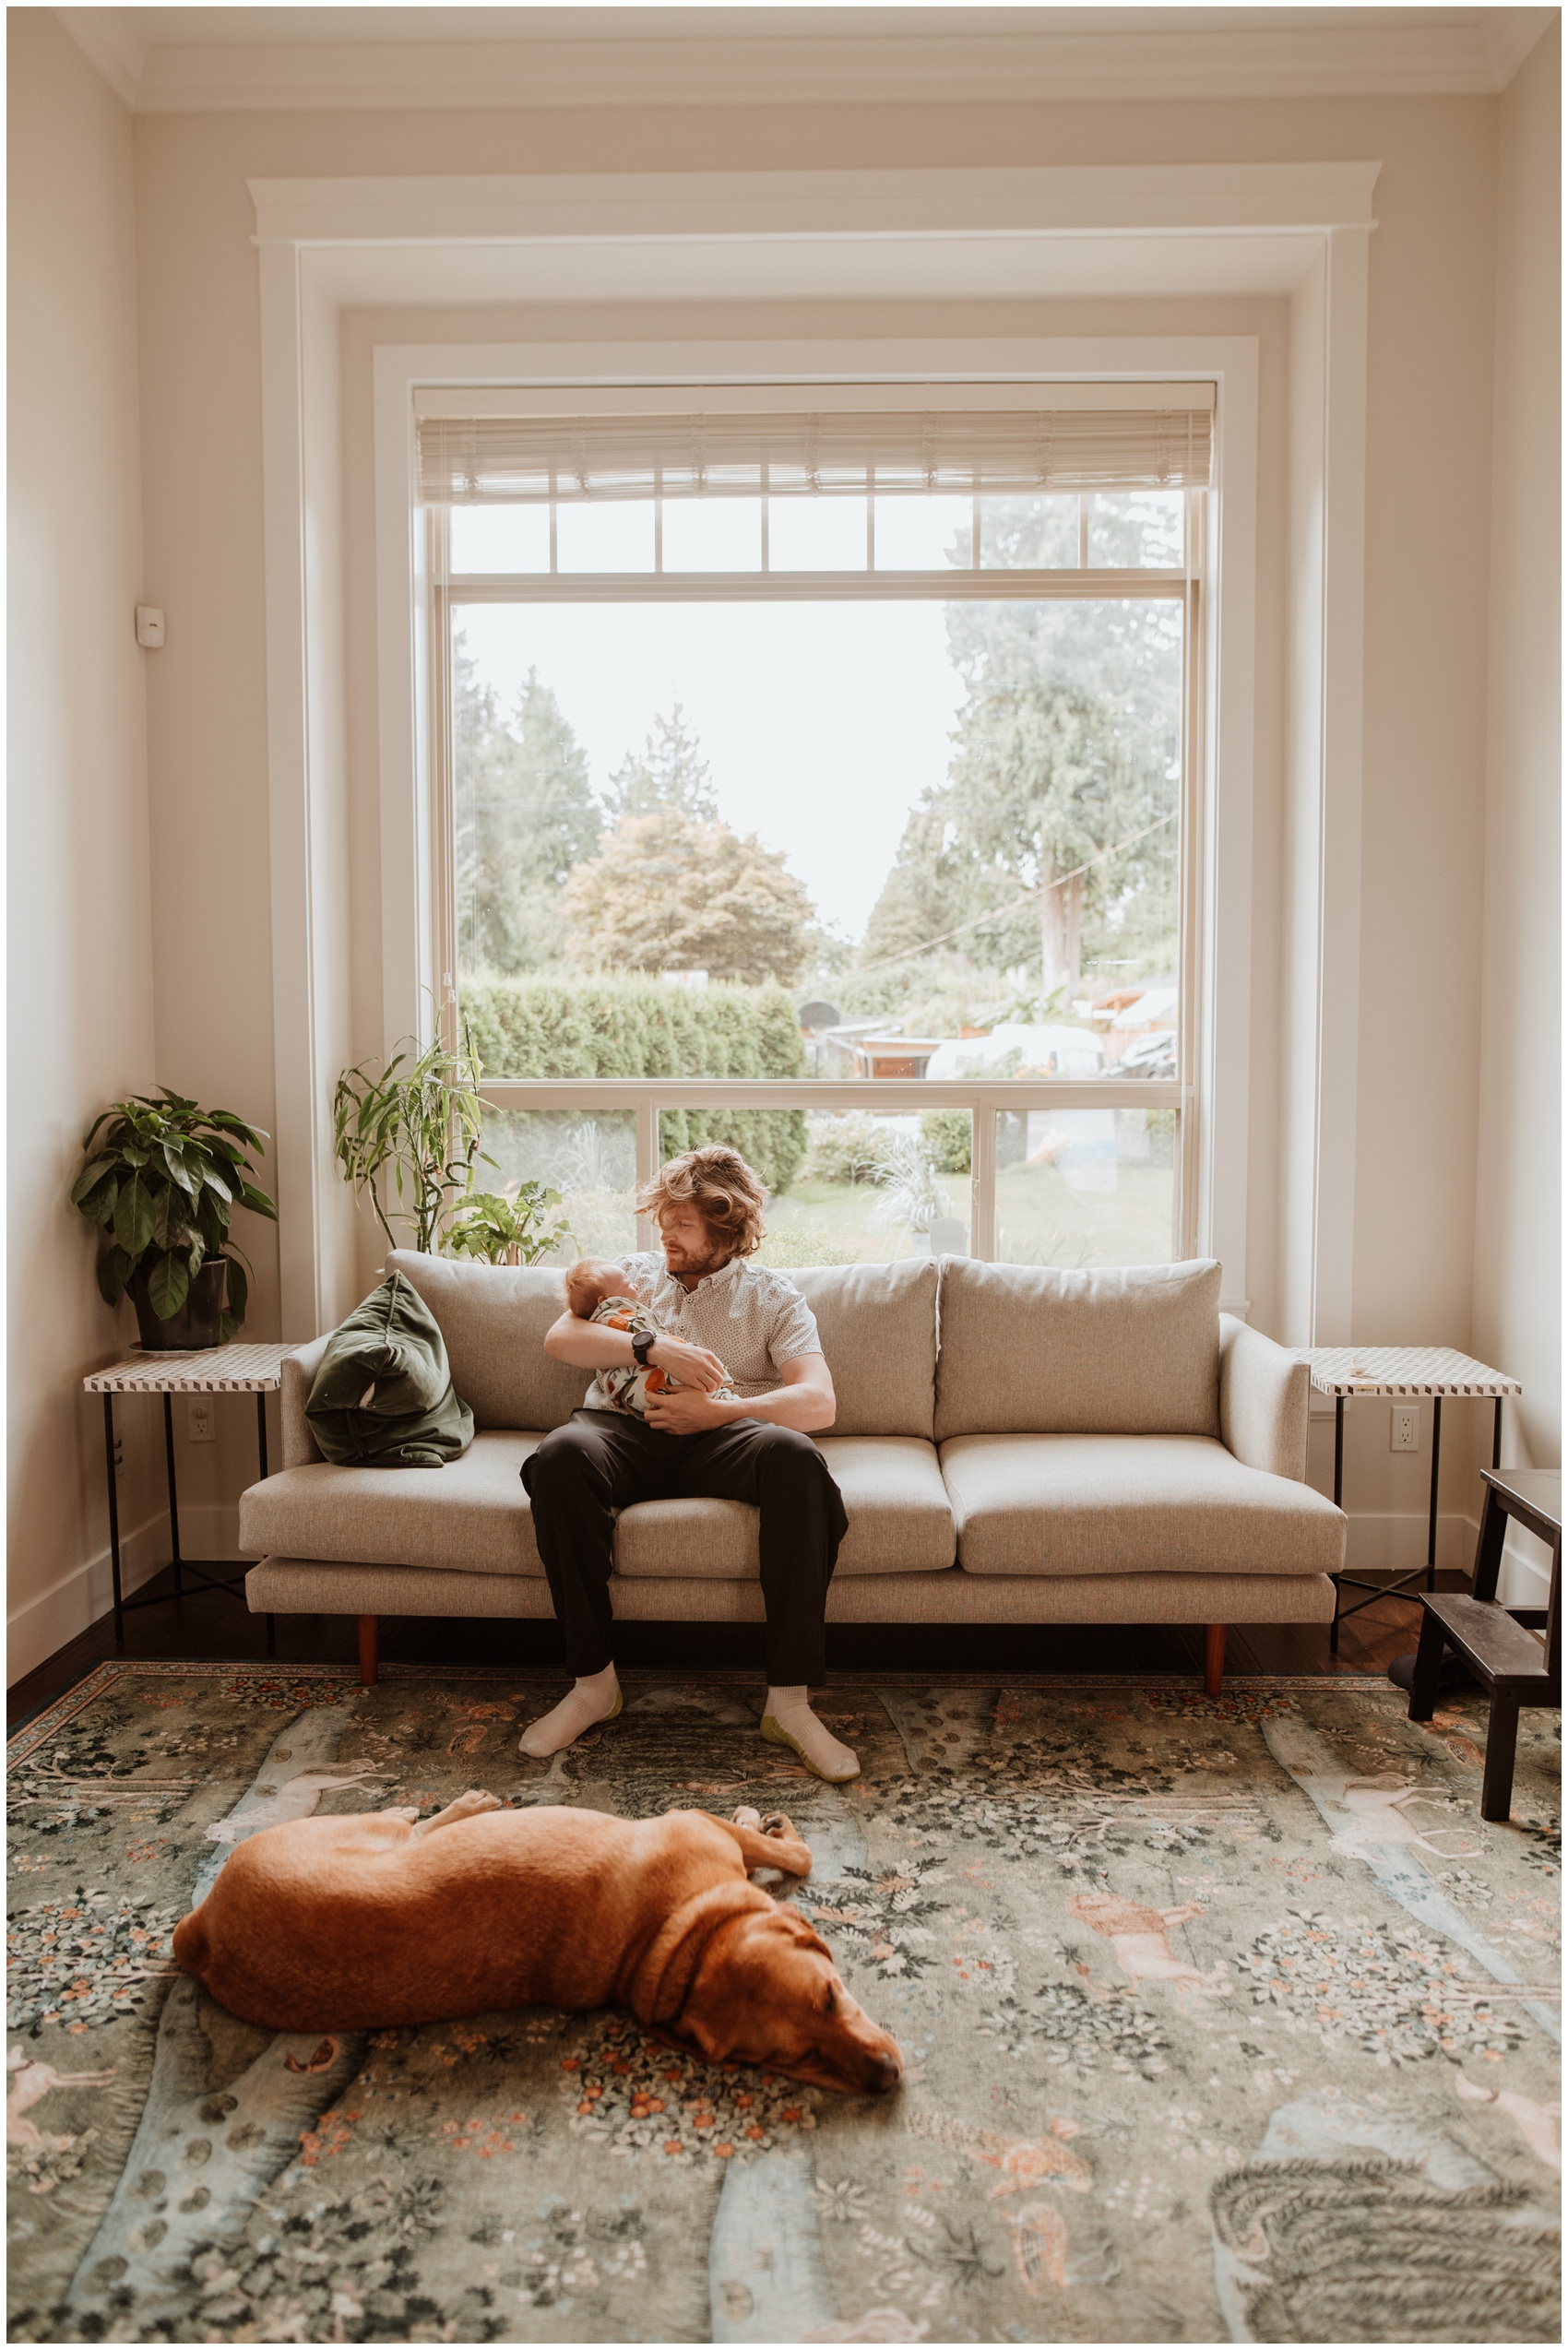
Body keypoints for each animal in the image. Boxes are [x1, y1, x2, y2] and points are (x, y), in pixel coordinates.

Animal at [169, 1786, 907, 2106]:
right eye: (797, 2056)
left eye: (833, 2000)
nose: (885, 2079)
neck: (672, 1941)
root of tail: (198, 1938)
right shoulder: (699, 1824)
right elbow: (795, 1853)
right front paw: (765, 1819)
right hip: (368, 1834)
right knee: (414, 1826)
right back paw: (457, 1807)